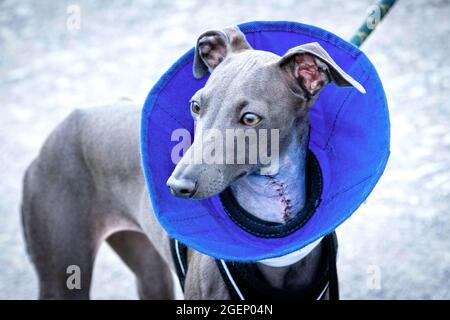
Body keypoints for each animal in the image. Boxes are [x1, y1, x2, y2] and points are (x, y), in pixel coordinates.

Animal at [21, 26, 364, 298]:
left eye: (250, 118)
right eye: (196, 105)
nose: (177, 186)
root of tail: (58, 132)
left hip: (147, 264)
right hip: (63, 271)